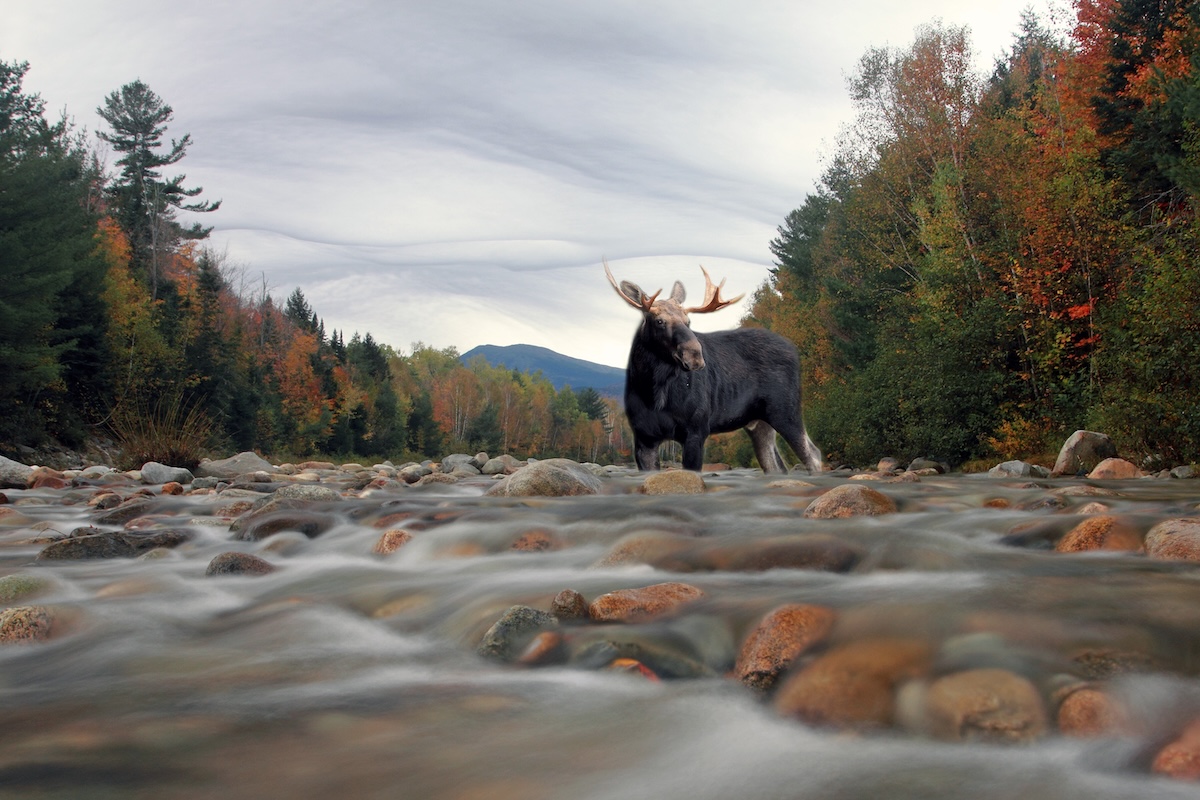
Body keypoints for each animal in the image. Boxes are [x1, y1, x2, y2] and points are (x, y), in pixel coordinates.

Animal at [605, 261, 823, 474]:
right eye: (659, 321)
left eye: (688, 321)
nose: (695, 356)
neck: (653, 392)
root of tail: (794, 349)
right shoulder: (644, 438)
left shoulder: (696, 430)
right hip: (759, 423)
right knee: (777, 466)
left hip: (786, 411)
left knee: (813, 454)